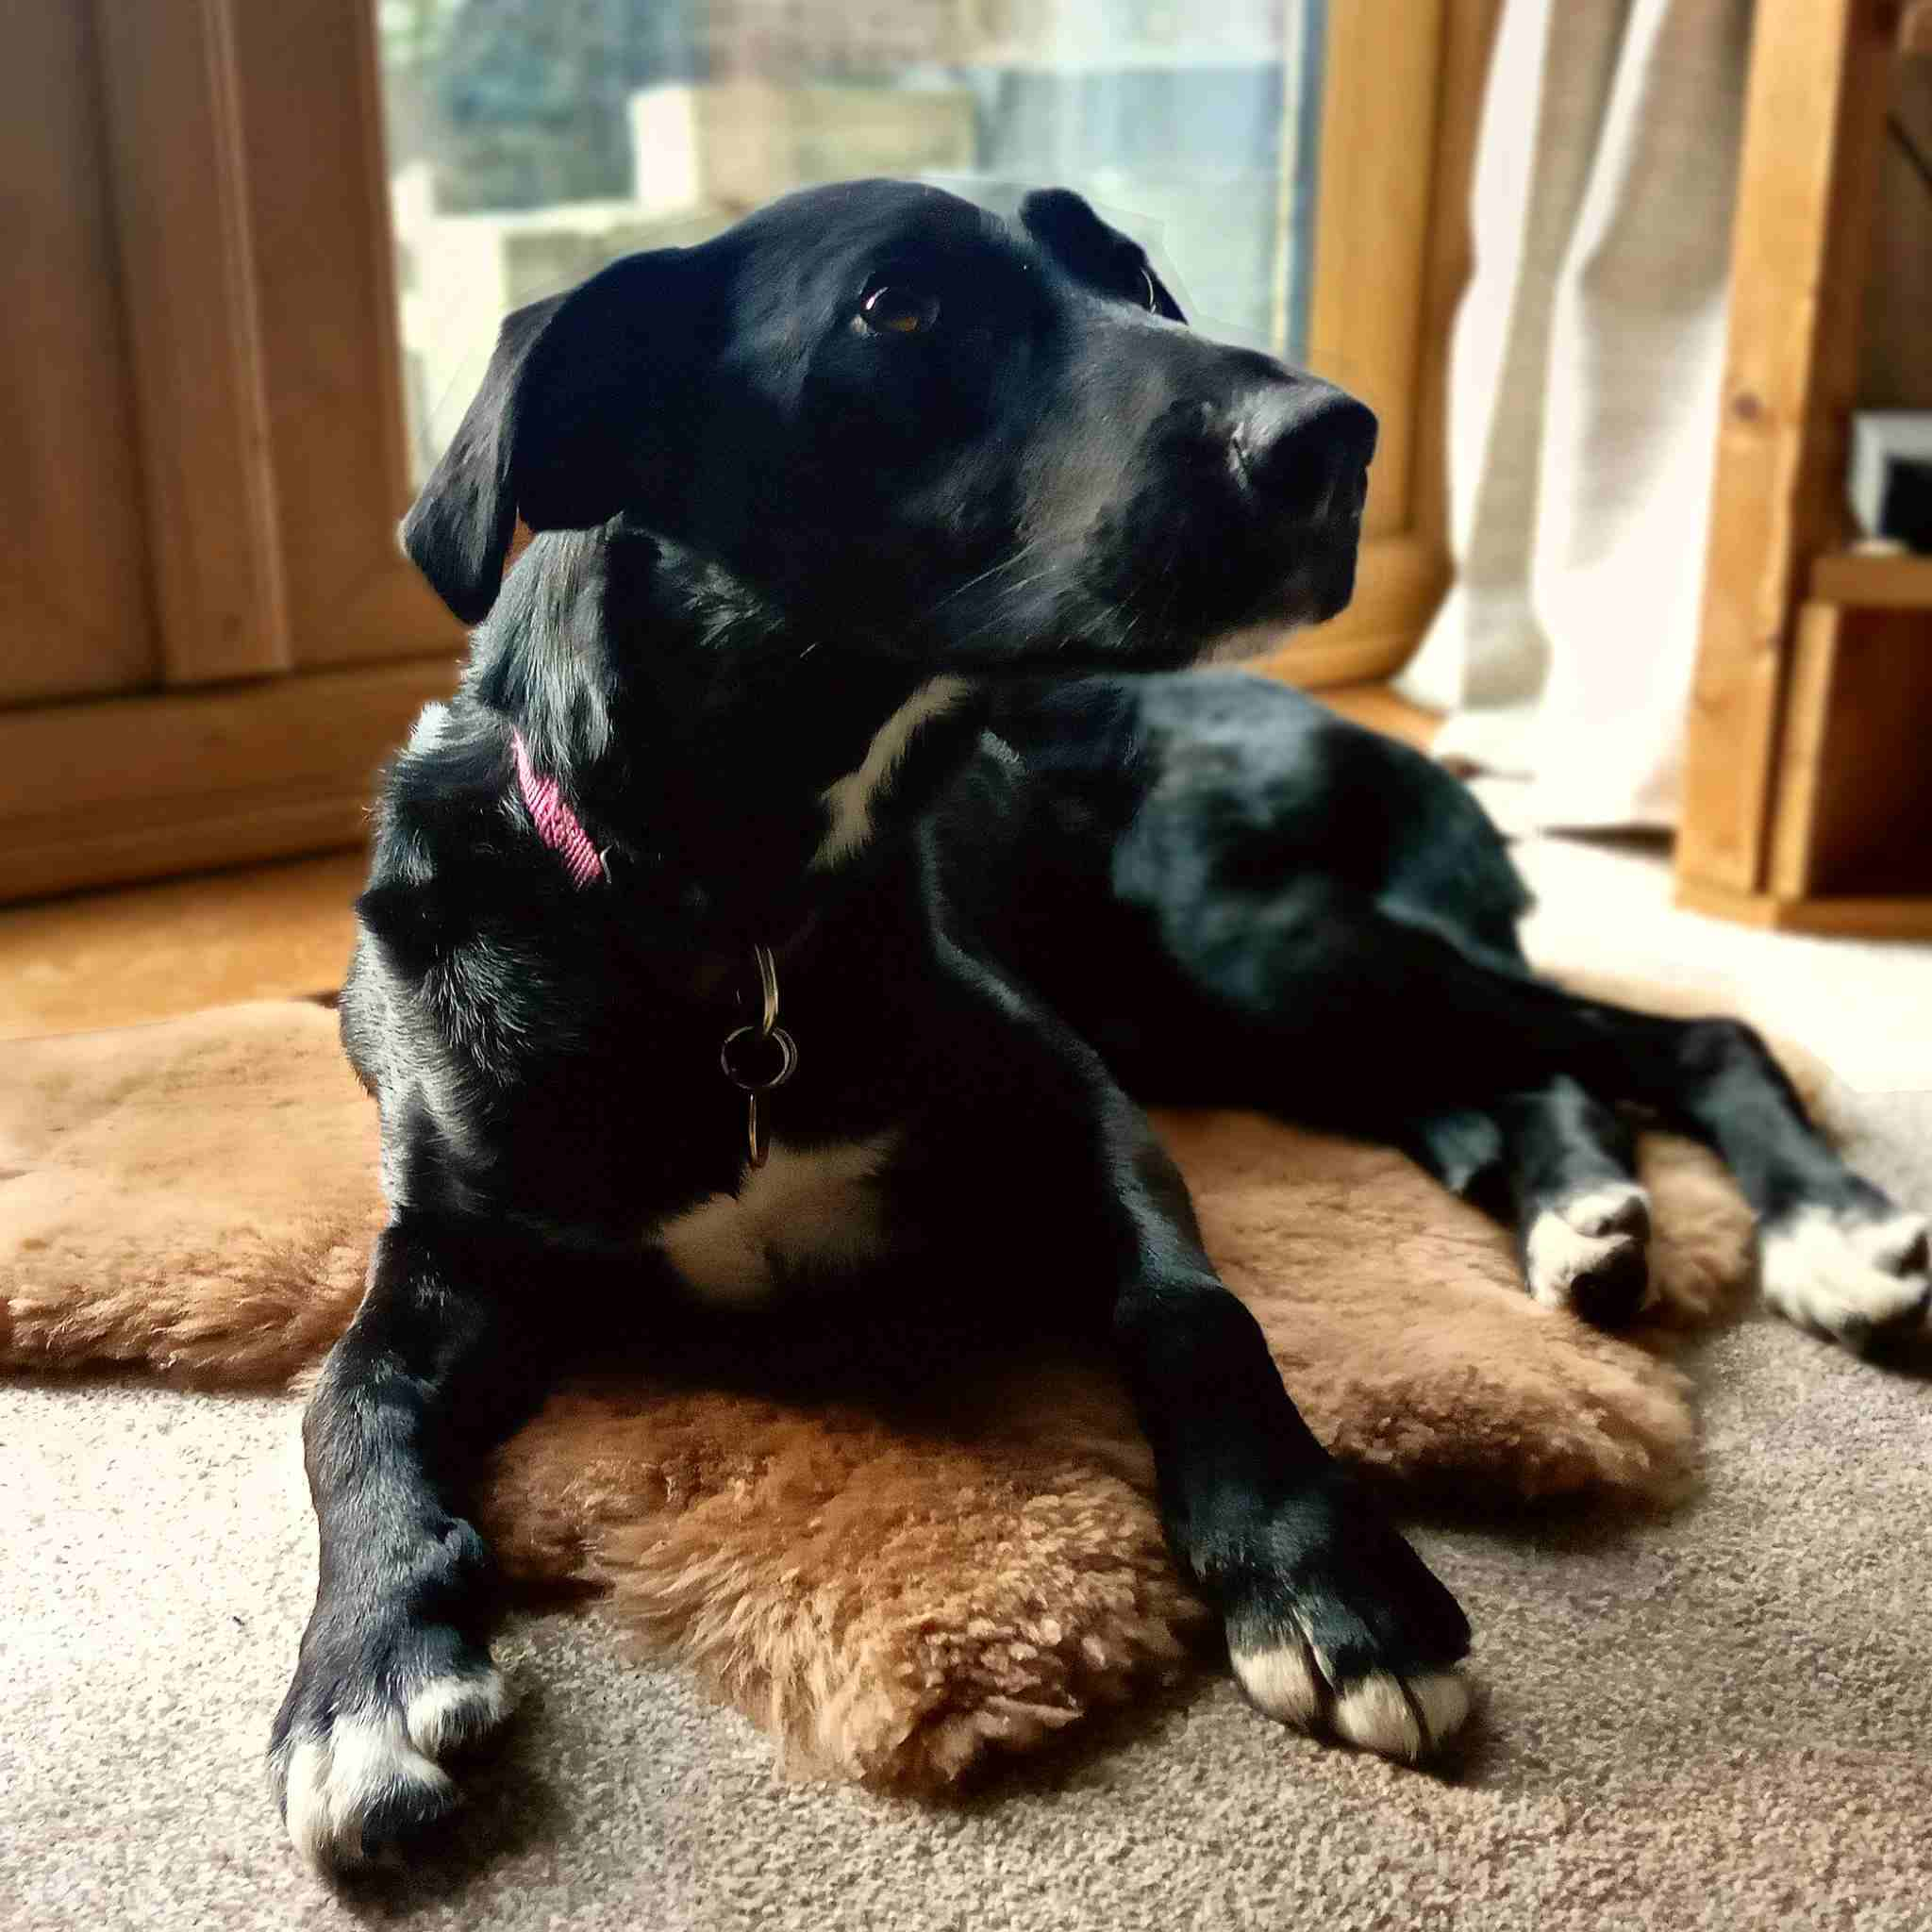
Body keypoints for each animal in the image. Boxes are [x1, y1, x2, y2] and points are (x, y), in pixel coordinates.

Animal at [275, 177, 1932, 1870]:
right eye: (896, 308)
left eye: (1129, 272)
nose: (1337, 439)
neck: (736, 930)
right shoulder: (453, 1245)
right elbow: (346, 1403)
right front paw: (366, 1679)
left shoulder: (1081, 1107)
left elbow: (1193, 1308)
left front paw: (1325, 1580)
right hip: (1253, 1006)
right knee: (1504, 1077)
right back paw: (1584, 1214)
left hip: (1257, 952)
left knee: (1675, 1035)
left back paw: (1824, 1232)